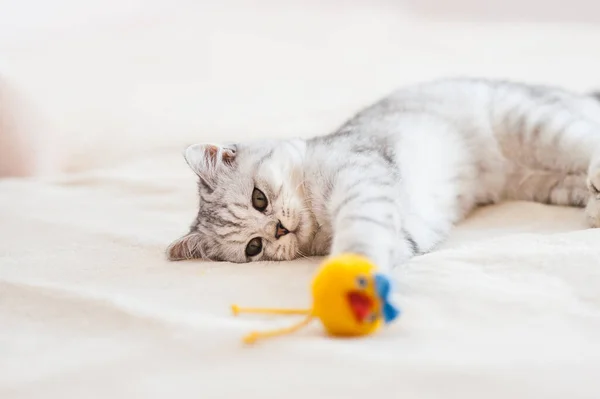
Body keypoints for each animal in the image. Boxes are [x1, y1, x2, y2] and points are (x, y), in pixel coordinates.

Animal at [166, 78, 600, 272]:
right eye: (254, 247)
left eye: (260, 198)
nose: (278, 230)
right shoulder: (406, 237)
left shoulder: (362, 177)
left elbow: (360, 231)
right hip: (544, 181)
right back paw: (594, 203)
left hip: (538, 126)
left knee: (589, 142)